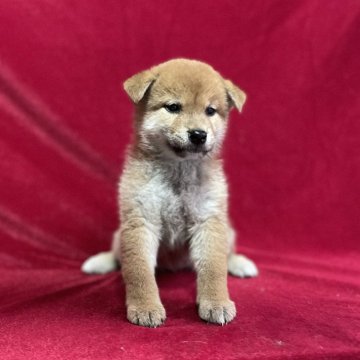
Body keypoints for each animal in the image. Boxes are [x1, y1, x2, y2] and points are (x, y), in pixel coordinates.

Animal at [82, 58, 256, 326]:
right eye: (173, 107)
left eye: (210, 111)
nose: (198, 134)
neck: (178, 172)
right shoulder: (141, 221)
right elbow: (138, 272)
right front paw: (145, 307)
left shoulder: (208, 221)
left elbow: (214, 268)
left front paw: (216, 302)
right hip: (119, 233)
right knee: (117, 253)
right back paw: (100, 262)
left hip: (228, 230)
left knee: (228, 253)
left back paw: (239, 263)